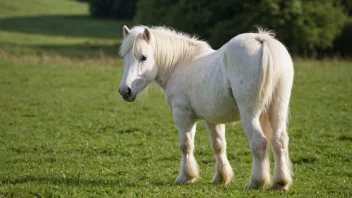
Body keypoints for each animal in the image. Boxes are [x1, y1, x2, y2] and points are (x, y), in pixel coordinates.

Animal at [118, 24, 294, 190]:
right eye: (124, 57)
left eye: (143, 57)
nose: (125, 91)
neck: (180, 63)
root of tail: (261, 41)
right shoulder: (213, 119)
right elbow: (219, 146)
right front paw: (221, 178)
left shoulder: (183, 114)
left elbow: (186, 145)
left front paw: (187, 177)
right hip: (278, 109)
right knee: (279, 141)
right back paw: (280, 182)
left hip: (249, 114)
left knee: (259, 142)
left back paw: (256, 182)